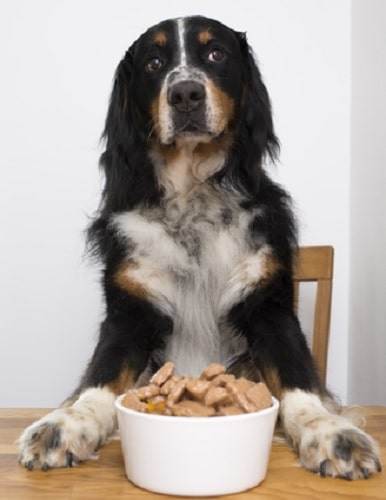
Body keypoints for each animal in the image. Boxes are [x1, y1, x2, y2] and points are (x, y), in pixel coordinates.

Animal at [17, 13, 380, 478]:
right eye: (153, 62)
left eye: (216, 54)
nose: (185, 93)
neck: (192, 198)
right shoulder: (129, 312)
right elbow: (102, 376)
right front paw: (64, 425)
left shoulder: (269, 306)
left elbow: (298, 379)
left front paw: (333, 433)